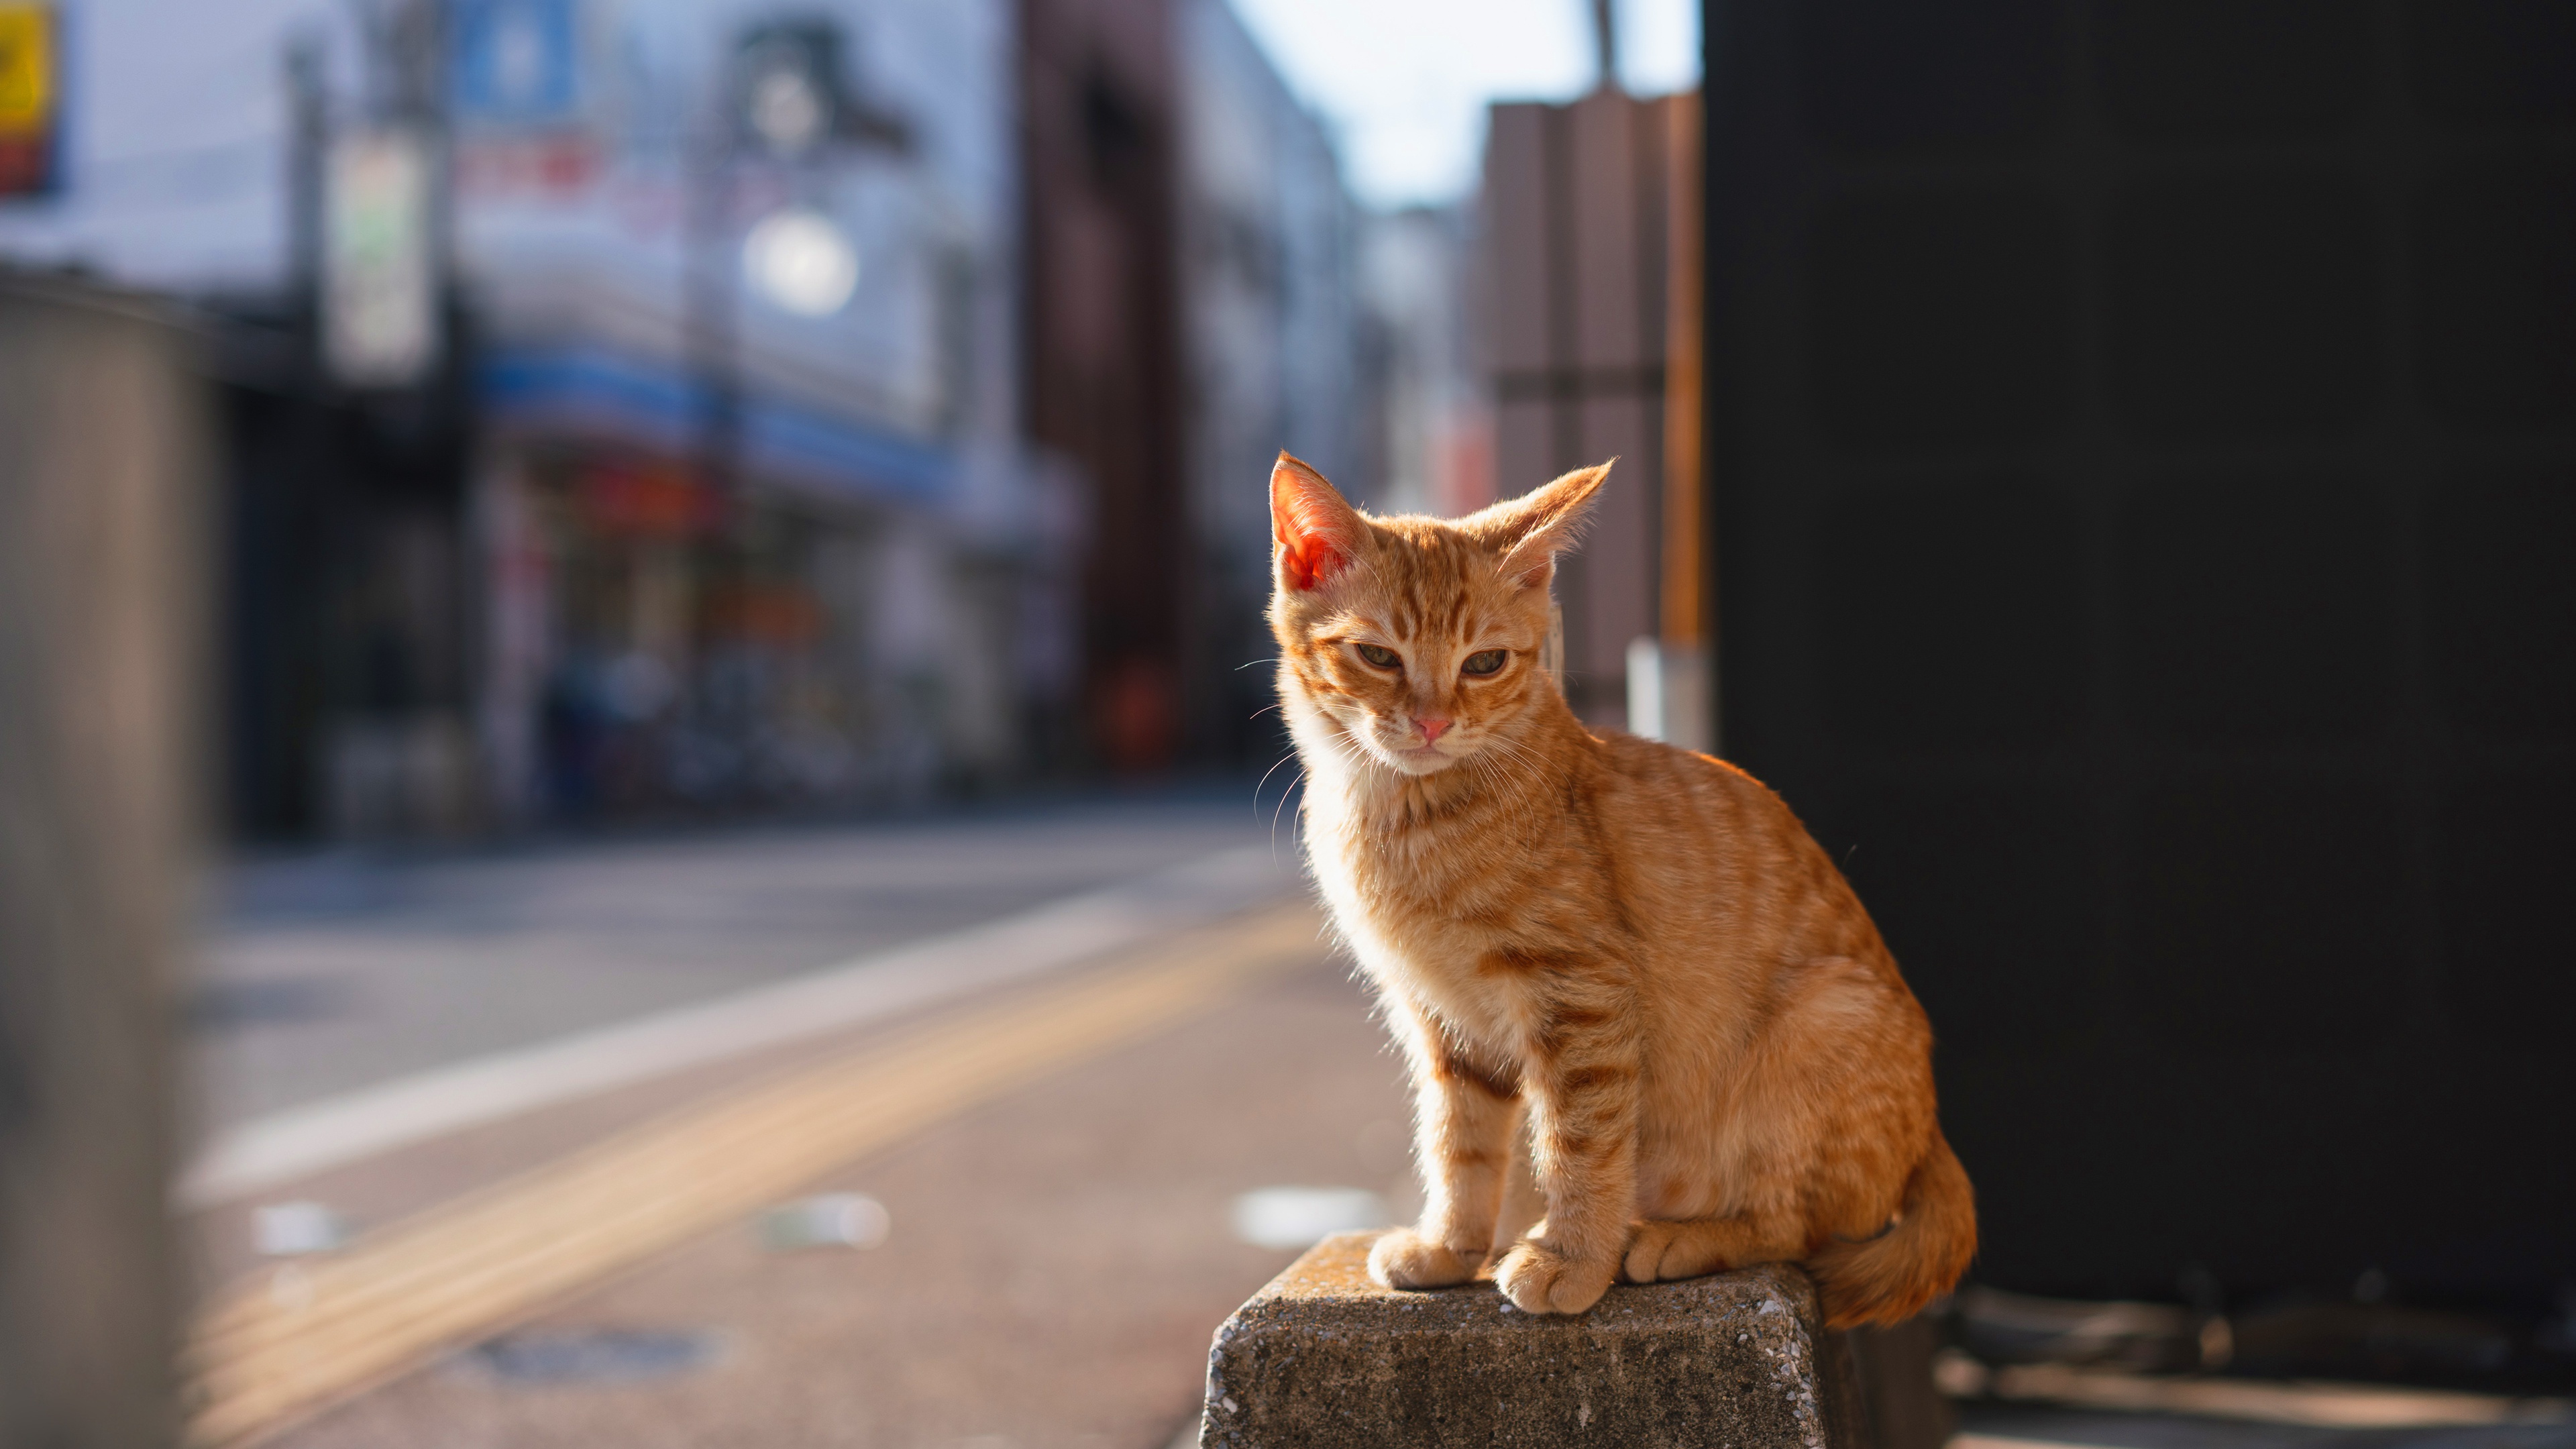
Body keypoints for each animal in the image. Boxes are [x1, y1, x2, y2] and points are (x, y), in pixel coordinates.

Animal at [1267, 451, 1968, 1320]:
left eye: (1485, 664)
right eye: (1378, 656)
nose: (1431, 723)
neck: (1400, 816)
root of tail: (1933, 1137)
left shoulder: (1582, 995)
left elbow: (1581, 1139)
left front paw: (1571, 1256)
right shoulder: (1444, 1024)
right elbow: (1460, 1144)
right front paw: (1449, 1247)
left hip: (1822, 1017)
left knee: (1794, 1229)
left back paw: (1672, 1240)